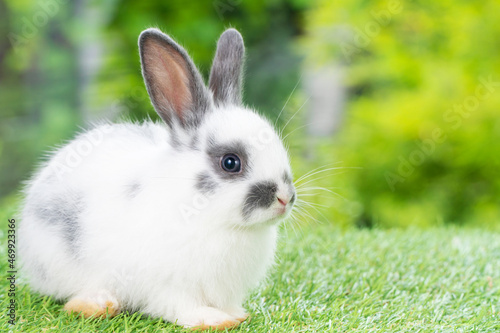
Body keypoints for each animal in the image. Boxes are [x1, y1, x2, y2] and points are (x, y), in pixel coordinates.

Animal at [17, 27, 294, 328]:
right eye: (230, 163)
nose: (285, 198)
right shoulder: (168, 286)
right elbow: (182, 306)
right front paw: (213, 320)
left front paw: (236, 314)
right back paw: (96, 305)